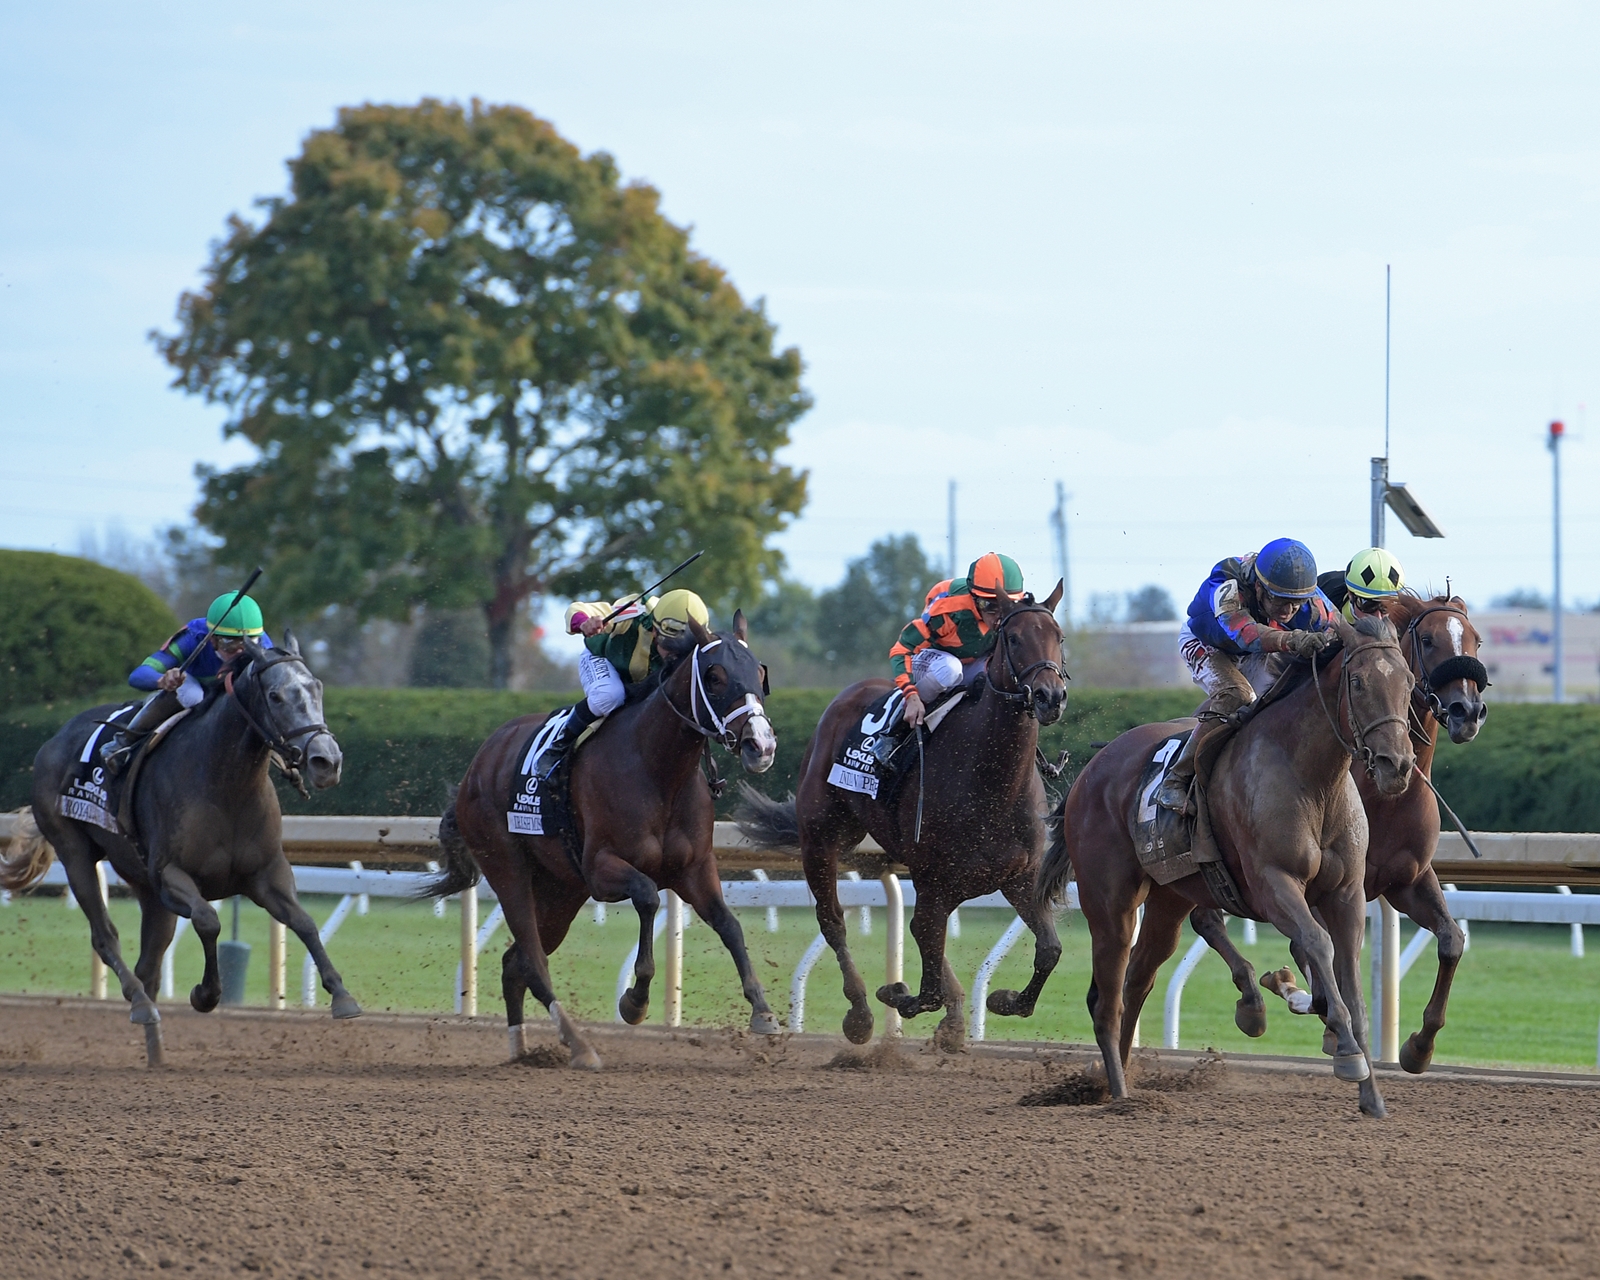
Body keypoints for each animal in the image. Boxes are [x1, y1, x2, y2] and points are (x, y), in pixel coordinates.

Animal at [2, 630, 360, 1062]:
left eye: (317, 687)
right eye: (274, 696)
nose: (327, 761)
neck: (226, 784)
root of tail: (54, 740)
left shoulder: (267, 874)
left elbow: (304, 922)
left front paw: (342, 995)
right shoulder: (172, 875)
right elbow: (209, 920)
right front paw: (206, 994)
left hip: (144, 886)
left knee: (149, 965)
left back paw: (156, 1050)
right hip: (75, 855)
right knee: (106, 938)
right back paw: (140, 1004)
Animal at [422, 614, 777, 1075]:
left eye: (760, 674)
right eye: (715, 676)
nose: (761, 745)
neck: (658, 768)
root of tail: (476, 767)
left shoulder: (694, 869)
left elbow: (728, 924)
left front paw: (763, 1011)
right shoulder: (601, 869)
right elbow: (647, 895)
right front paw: (635, 1001)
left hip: (559, 891)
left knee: (514, 963)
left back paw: (522, 1050)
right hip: (507, 867)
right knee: (533, 961)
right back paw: (579, 1045)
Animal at [732, 585, 1062, 1056]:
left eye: (1059, 636)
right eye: (1014, 639)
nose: (1050, 696)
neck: (991, 776)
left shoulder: (1021, 876)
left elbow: (1048, 950)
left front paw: (1003, 999)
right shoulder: (935, 879)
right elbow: (926, 976)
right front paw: (897, 994)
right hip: (821, 837)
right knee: (833, 919)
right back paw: (860, 1013)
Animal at [1043, 614, 1420, 1113]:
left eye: (1409, 682)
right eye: (1357, 682)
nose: (1396, 765)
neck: (1312, 779)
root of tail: (1090, 771)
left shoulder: (1346, 894)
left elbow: (1349, 981)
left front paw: (1371, 1095)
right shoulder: (1273, 885)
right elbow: (1317, 943)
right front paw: (1345, 1053)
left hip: (1169, 897)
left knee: (1138, 977)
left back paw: (1117, 1079)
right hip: (1110, 904)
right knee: (1108, 1000)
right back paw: (1119, 1095)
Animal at [1190, 588, 1484, 1068]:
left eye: (1475, 639)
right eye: (1428, 639)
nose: (1468, 711)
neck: (1385, 797)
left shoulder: (1406, 880)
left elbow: (1451, 940)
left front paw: (1419, 1046)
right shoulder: (1310, 883)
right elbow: (1313, 950)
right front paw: (1315, 1010)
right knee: (1205, 917)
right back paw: (1259, 1000)